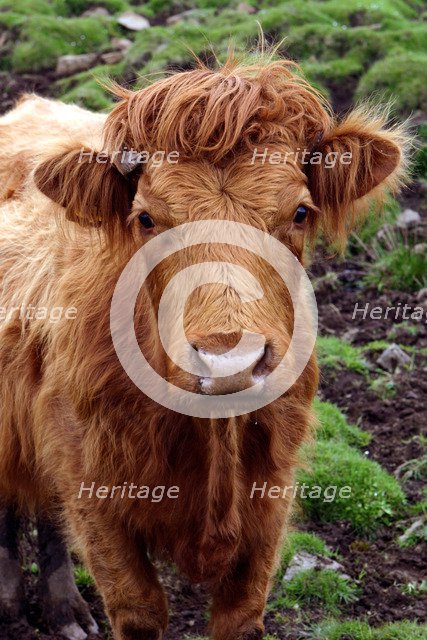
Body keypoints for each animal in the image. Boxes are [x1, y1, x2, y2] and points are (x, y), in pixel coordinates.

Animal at [0, 55, 408, 640]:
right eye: (146, 218)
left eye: (300, 212)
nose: (229, 361)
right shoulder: (91, 491)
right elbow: (139, 610)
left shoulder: (270, 501)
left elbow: (240, 617)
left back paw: (63, 611)